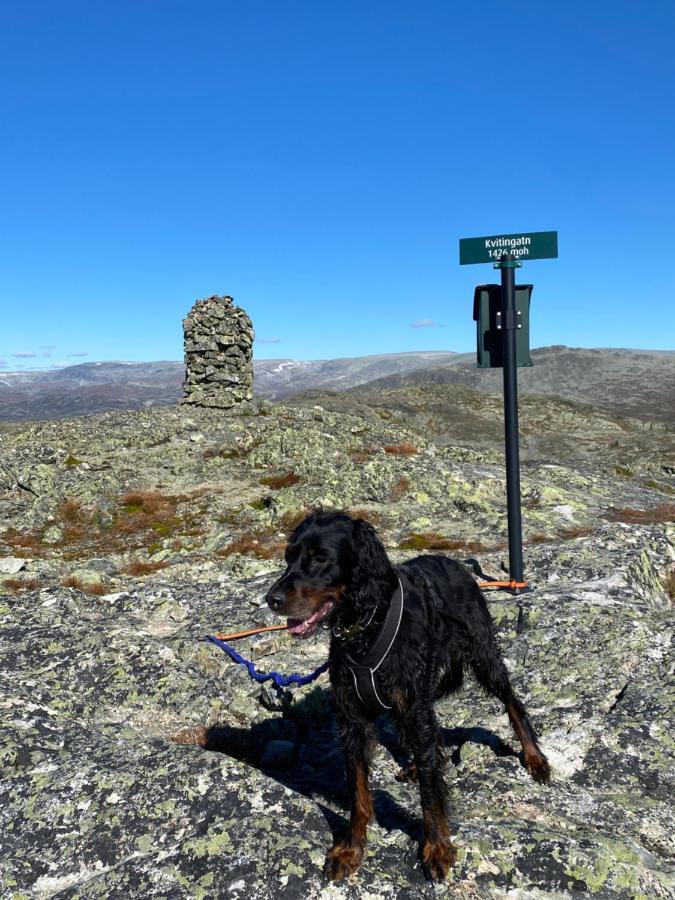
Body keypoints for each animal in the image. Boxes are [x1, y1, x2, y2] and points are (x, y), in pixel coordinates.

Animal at [264, 510, 548, 884]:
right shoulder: (353, 720)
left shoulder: (413, 704)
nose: (271, 599)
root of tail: (459, 565)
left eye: (320, 558)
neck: (366, 625)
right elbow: (359, 793)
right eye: (288, 557)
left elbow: (430, 790)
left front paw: (437, 847)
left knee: (511, 701)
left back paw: (534, 757)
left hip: (482, 653)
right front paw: (351, 850)